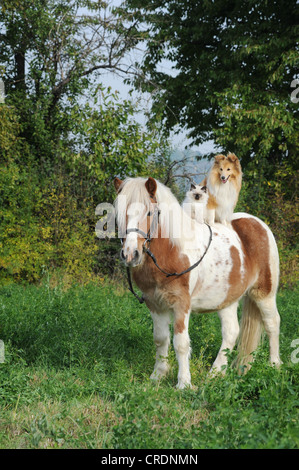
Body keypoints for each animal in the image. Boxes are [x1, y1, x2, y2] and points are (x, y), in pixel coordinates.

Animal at [113, 176, 282, 390]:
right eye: (119, 213)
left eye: (149, 212)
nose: (130, 254)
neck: (172, 251)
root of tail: (258, 224)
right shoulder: (155, 304)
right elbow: (160, 339)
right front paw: (157, 376)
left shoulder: (181, 304)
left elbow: (180, 342)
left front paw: (183, 383)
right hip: (227, 299)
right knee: (231, 332)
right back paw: (216, 374)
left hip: (264, 293)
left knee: (272, 323)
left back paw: (275, 365)